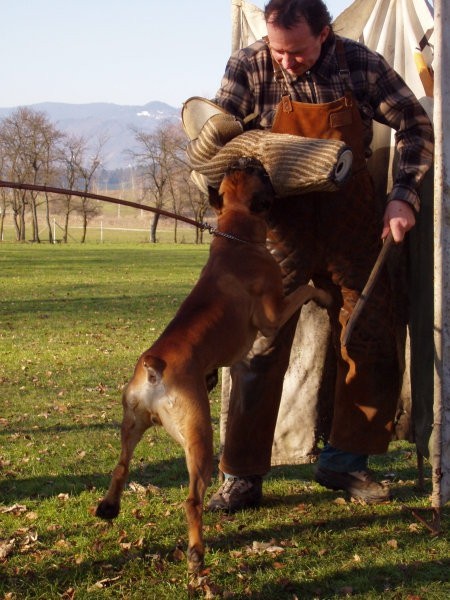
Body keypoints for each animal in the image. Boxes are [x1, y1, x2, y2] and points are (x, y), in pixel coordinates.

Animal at [96, 158, 330, 572]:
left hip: (132, 423)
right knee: (192, 500)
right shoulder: (273, 316)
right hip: (199, 440)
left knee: (121, 466)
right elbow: (303, 290)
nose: (247, 158)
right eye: (258, 174)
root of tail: (154, 367)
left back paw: (109, 506)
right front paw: (323, 292)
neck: (235, 234)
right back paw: (196, 554)